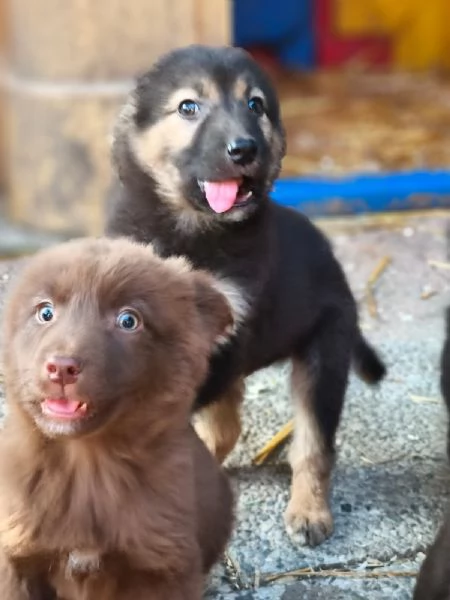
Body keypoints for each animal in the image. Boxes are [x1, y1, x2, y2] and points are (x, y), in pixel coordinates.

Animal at [0, 237, 234, 596]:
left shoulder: (167, 565)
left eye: (128, 320)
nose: (61, 368)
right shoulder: (16, 554)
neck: (85, 468)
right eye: (45, 312)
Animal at [106, 43, 386, 548]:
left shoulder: (229, 329)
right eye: (188, 107)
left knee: (312, 445)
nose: (244, 149)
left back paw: (309, 510)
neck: (193, 231)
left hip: (323, 357)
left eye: (255, 105)